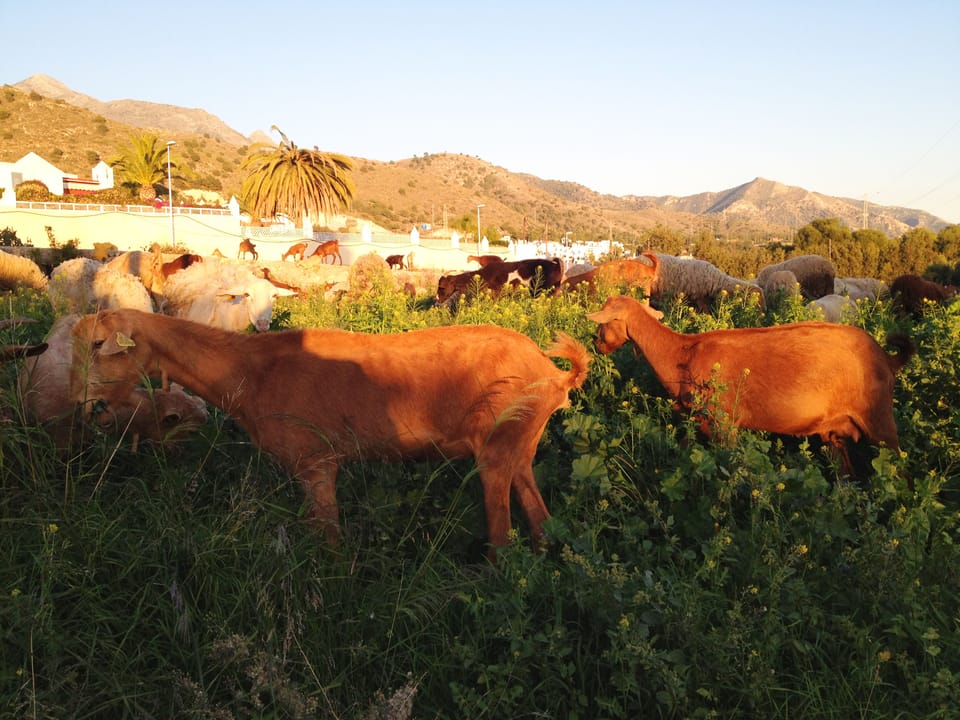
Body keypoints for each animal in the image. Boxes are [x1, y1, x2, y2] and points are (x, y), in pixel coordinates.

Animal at [70, 309, 591, 556]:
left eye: (99, 344)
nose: (87, 406)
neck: (252, 372)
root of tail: (556, 374)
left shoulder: (315, 463)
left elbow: (330, 543)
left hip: (497, 451)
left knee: (502, 541)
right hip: (520, 448)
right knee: (541, 521)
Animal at [587, 294, 914, 473]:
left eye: (604, 323)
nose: (596, 343)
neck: (682, 352)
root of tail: (886, 357)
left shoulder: (725, 423)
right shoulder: (697, 422)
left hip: (879, 420)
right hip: (835, 431)